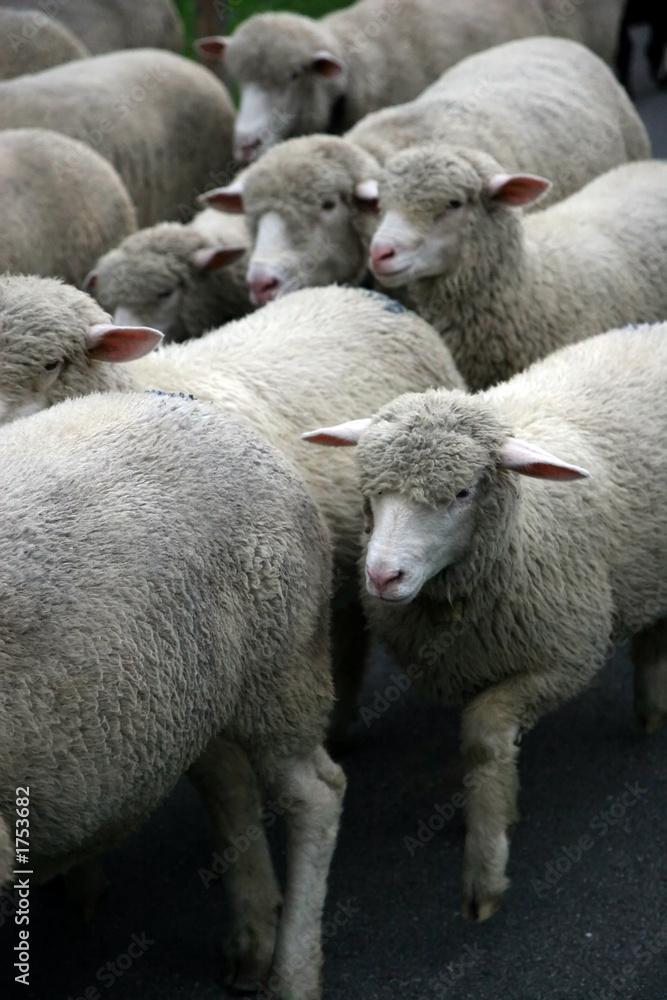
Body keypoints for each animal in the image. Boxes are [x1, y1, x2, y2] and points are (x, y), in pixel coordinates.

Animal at [0, 388, 344, 999]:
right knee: (228, 780)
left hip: (279, 668)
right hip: (184, 694)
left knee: (316, 797)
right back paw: (251, 938)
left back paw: (293, 975)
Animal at [301, 321, 667, 921]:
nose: (381, 576)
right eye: (370, 491)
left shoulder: (565, 659)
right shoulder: (469, 661)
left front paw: (484, 871)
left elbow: (483, 737)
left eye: (461, 492)